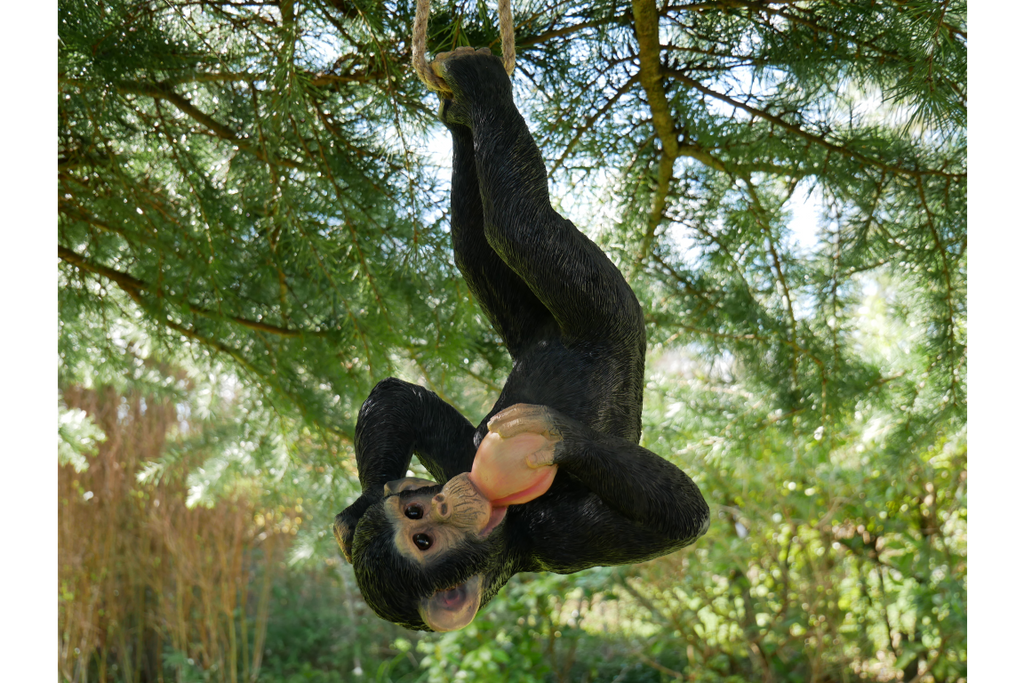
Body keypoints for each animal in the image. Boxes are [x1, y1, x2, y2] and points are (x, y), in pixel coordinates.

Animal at [334, 47, 709, 632]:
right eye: (423, 537)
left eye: (416, 512)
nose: (442, 503)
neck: (505, 524)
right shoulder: (560, 536)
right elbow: (683, 520)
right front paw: (554, 436)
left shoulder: (458, 462)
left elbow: (400, 399)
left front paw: (361, 507)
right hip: (602, 306)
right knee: (517, 224)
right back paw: (482, 86)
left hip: (534, 326)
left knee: (476, 244)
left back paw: (458, 108)